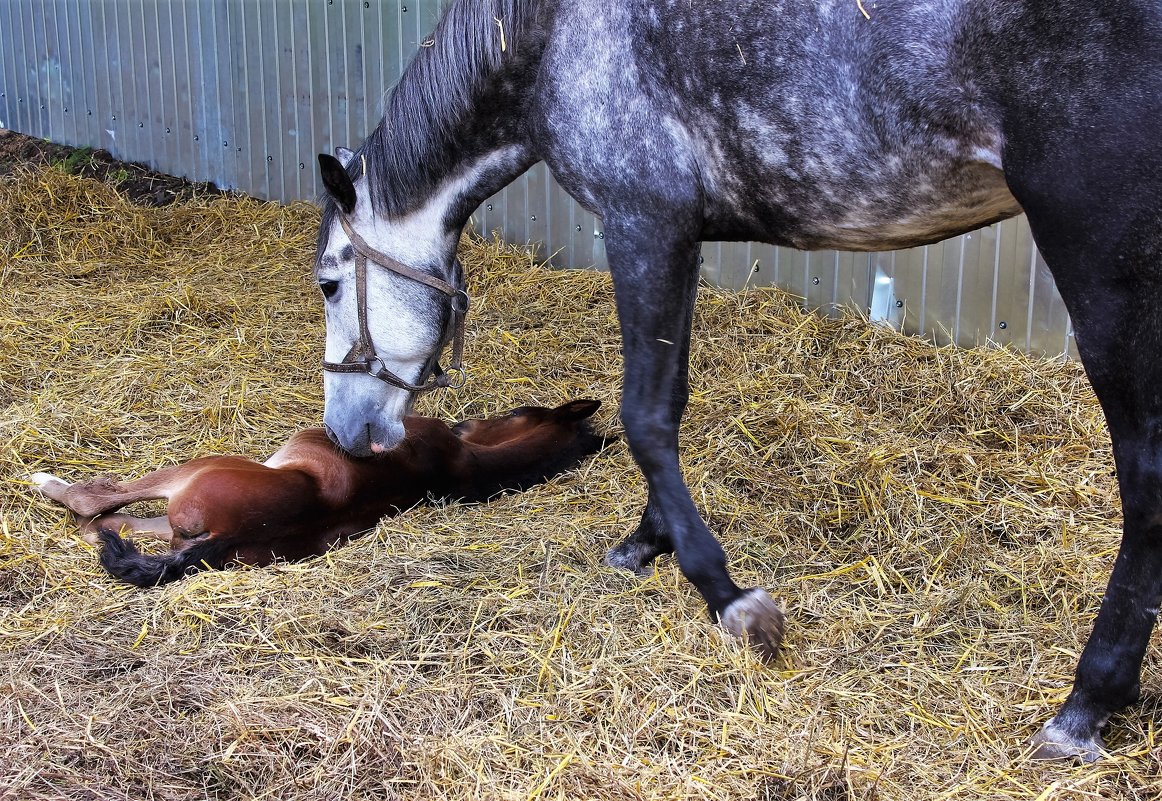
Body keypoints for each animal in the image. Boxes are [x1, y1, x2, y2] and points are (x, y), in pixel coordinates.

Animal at [29, 397, 608, 583]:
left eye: (518, 413)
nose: (466, 423)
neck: (462, 464)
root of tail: (226, 534)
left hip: (196, 471)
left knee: (96, 506)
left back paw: (48, 483)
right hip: (179, 524)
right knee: (107, 524)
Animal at [311, 1, 1162, 762]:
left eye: (328, 281)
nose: (346, 433)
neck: (546, 35)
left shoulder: (643, 224)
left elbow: (645, 414)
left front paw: (726, 592)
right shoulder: (679, 236)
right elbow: (670, 401)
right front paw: (646, 540)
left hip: (1104, 265)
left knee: (1145, 479)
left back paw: (1085, 705)